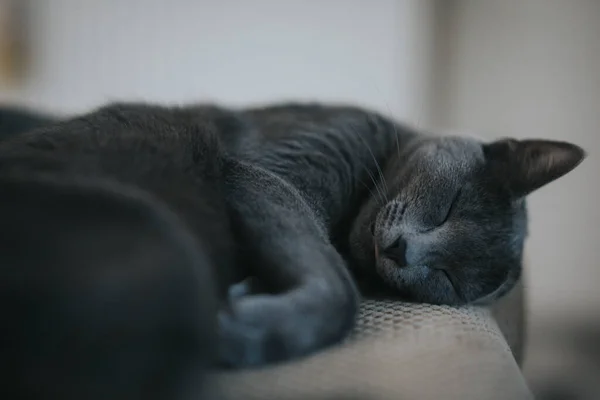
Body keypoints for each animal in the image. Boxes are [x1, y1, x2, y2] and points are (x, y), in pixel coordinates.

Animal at [0, 101, 584, 398]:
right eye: (451, 205)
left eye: (448, 279)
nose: (403, 252)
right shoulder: (269, 172)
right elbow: (340, 290)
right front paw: (237, 326)